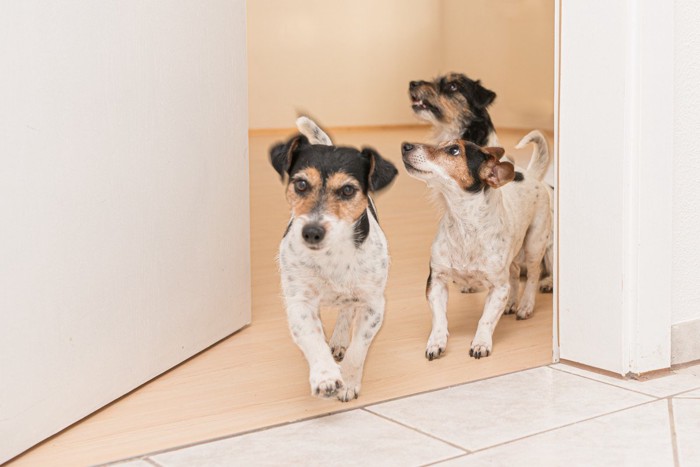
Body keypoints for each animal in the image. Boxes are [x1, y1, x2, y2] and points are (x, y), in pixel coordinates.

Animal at [270, 117, 396, 402]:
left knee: (347, 309)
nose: (312, 231)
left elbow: (359, 348)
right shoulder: (299, 302)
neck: (331, 255)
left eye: (348, 190)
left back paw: (339, 338)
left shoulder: (373, 304)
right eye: (301, 184)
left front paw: (348, 381)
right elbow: (313, 337)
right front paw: (325, 376)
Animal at [400, 132, 552, 362]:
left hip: (534, 245)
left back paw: (525, 305)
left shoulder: (498, 288)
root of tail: (532, 175)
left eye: (454, 150)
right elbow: (439, 319)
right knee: (515, 273)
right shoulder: (436, 281)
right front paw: (436, 342)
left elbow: (486, 319)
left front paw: (481, 343)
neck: (465, 225)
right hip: (513, 255)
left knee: (533, 276)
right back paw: (511, 303)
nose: (405, 146)